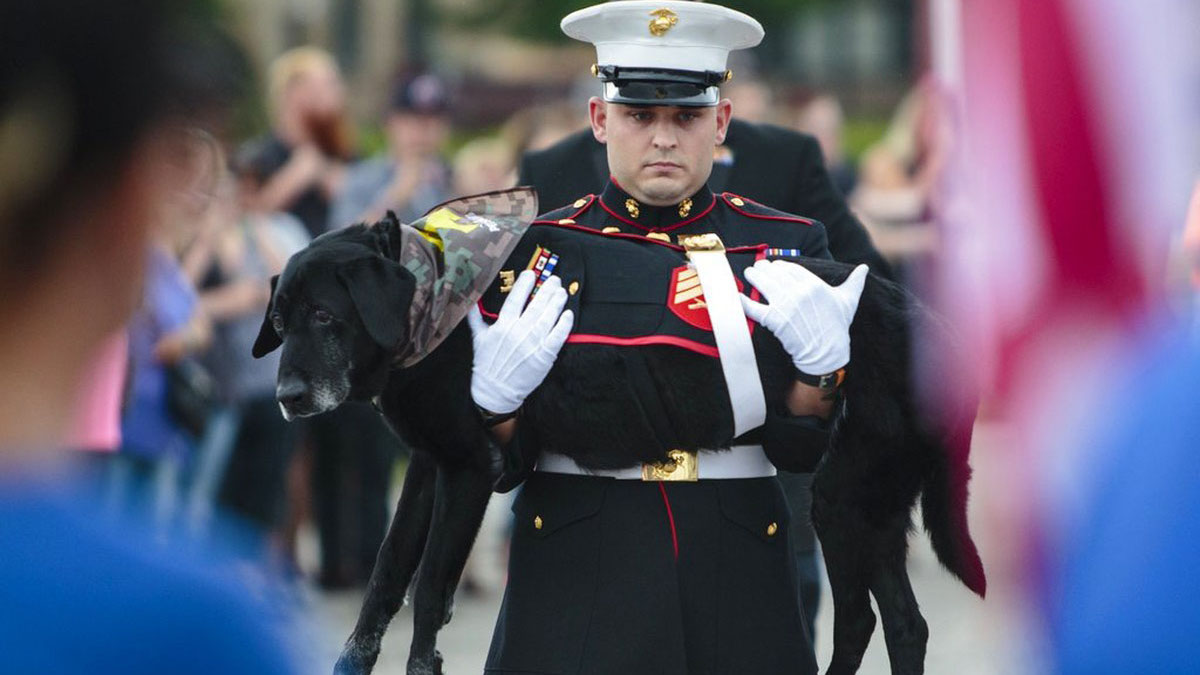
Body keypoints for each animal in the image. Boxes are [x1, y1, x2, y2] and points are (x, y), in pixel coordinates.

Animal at [250, 194, 984, 672]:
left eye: (325, 315)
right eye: (281, 320)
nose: (286, 399)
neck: (435, 294)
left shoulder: (469, 468)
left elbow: (428, 597)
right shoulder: (432, 466)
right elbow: (384, 580)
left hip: (844, 500)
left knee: (868, 618)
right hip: (862, 505)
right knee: (898, 624)